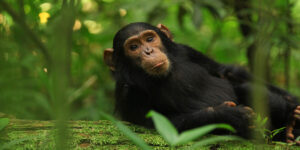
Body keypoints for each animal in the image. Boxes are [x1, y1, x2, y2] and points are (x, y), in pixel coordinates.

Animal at [103, 22, 300, 144]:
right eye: (133, 47)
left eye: (150, 39)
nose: (148, 51)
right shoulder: (127, 94)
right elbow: (166, 125)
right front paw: (229, 114)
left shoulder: (187, 51)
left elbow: (226, 73)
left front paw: (292, 105)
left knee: (245, 87)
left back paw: (291, 122)